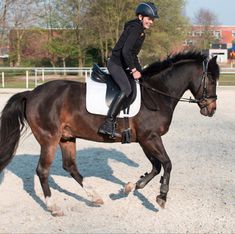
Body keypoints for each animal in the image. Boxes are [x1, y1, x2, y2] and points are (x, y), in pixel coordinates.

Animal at [0, 51, 220, 216]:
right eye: (210, 79)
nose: (211, 109)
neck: (157, 93)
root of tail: (31, 93)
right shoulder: (150, 137)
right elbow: (166, 164)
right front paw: (161, 196)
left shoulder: (145, 140)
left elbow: (156, 166)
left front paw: (133, 186)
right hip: (49, 139)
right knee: (43, 171)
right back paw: (54, 207)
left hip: (66, 137)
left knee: (70, 166)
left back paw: (95, 196)